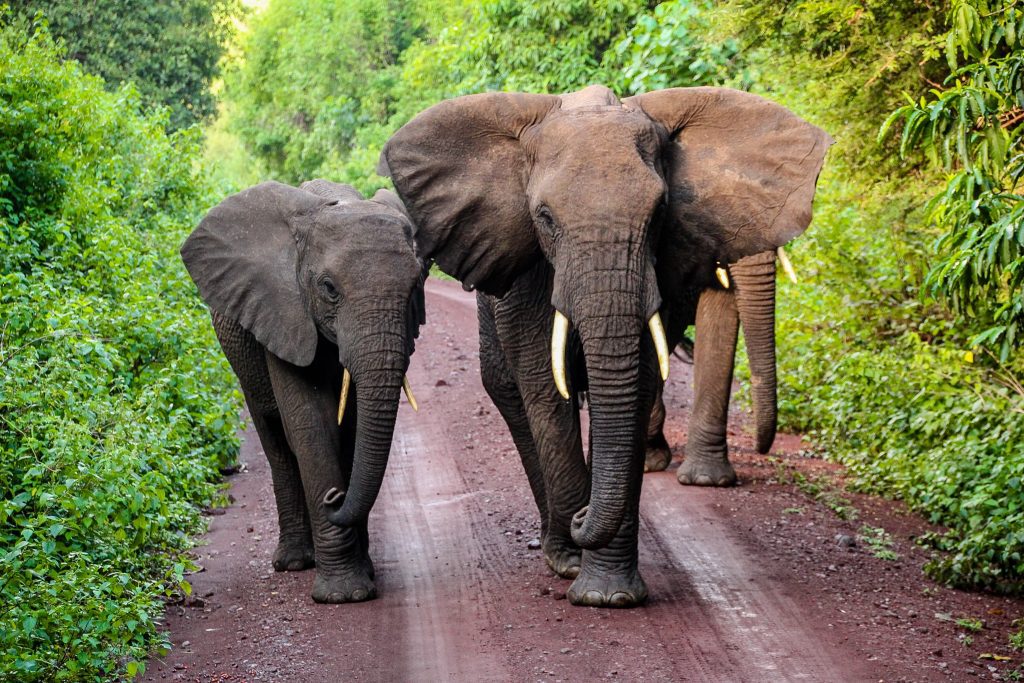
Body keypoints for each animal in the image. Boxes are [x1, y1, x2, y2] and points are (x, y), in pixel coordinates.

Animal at [182, 178, 425, 602]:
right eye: (328, 288)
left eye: (415, 287)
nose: (334, 500)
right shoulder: (282, 312)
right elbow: (311, 425)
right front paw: (342, 596)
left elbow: (351, 430)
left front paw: (361, 577)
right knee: (276, 440)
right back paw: (294, 561)